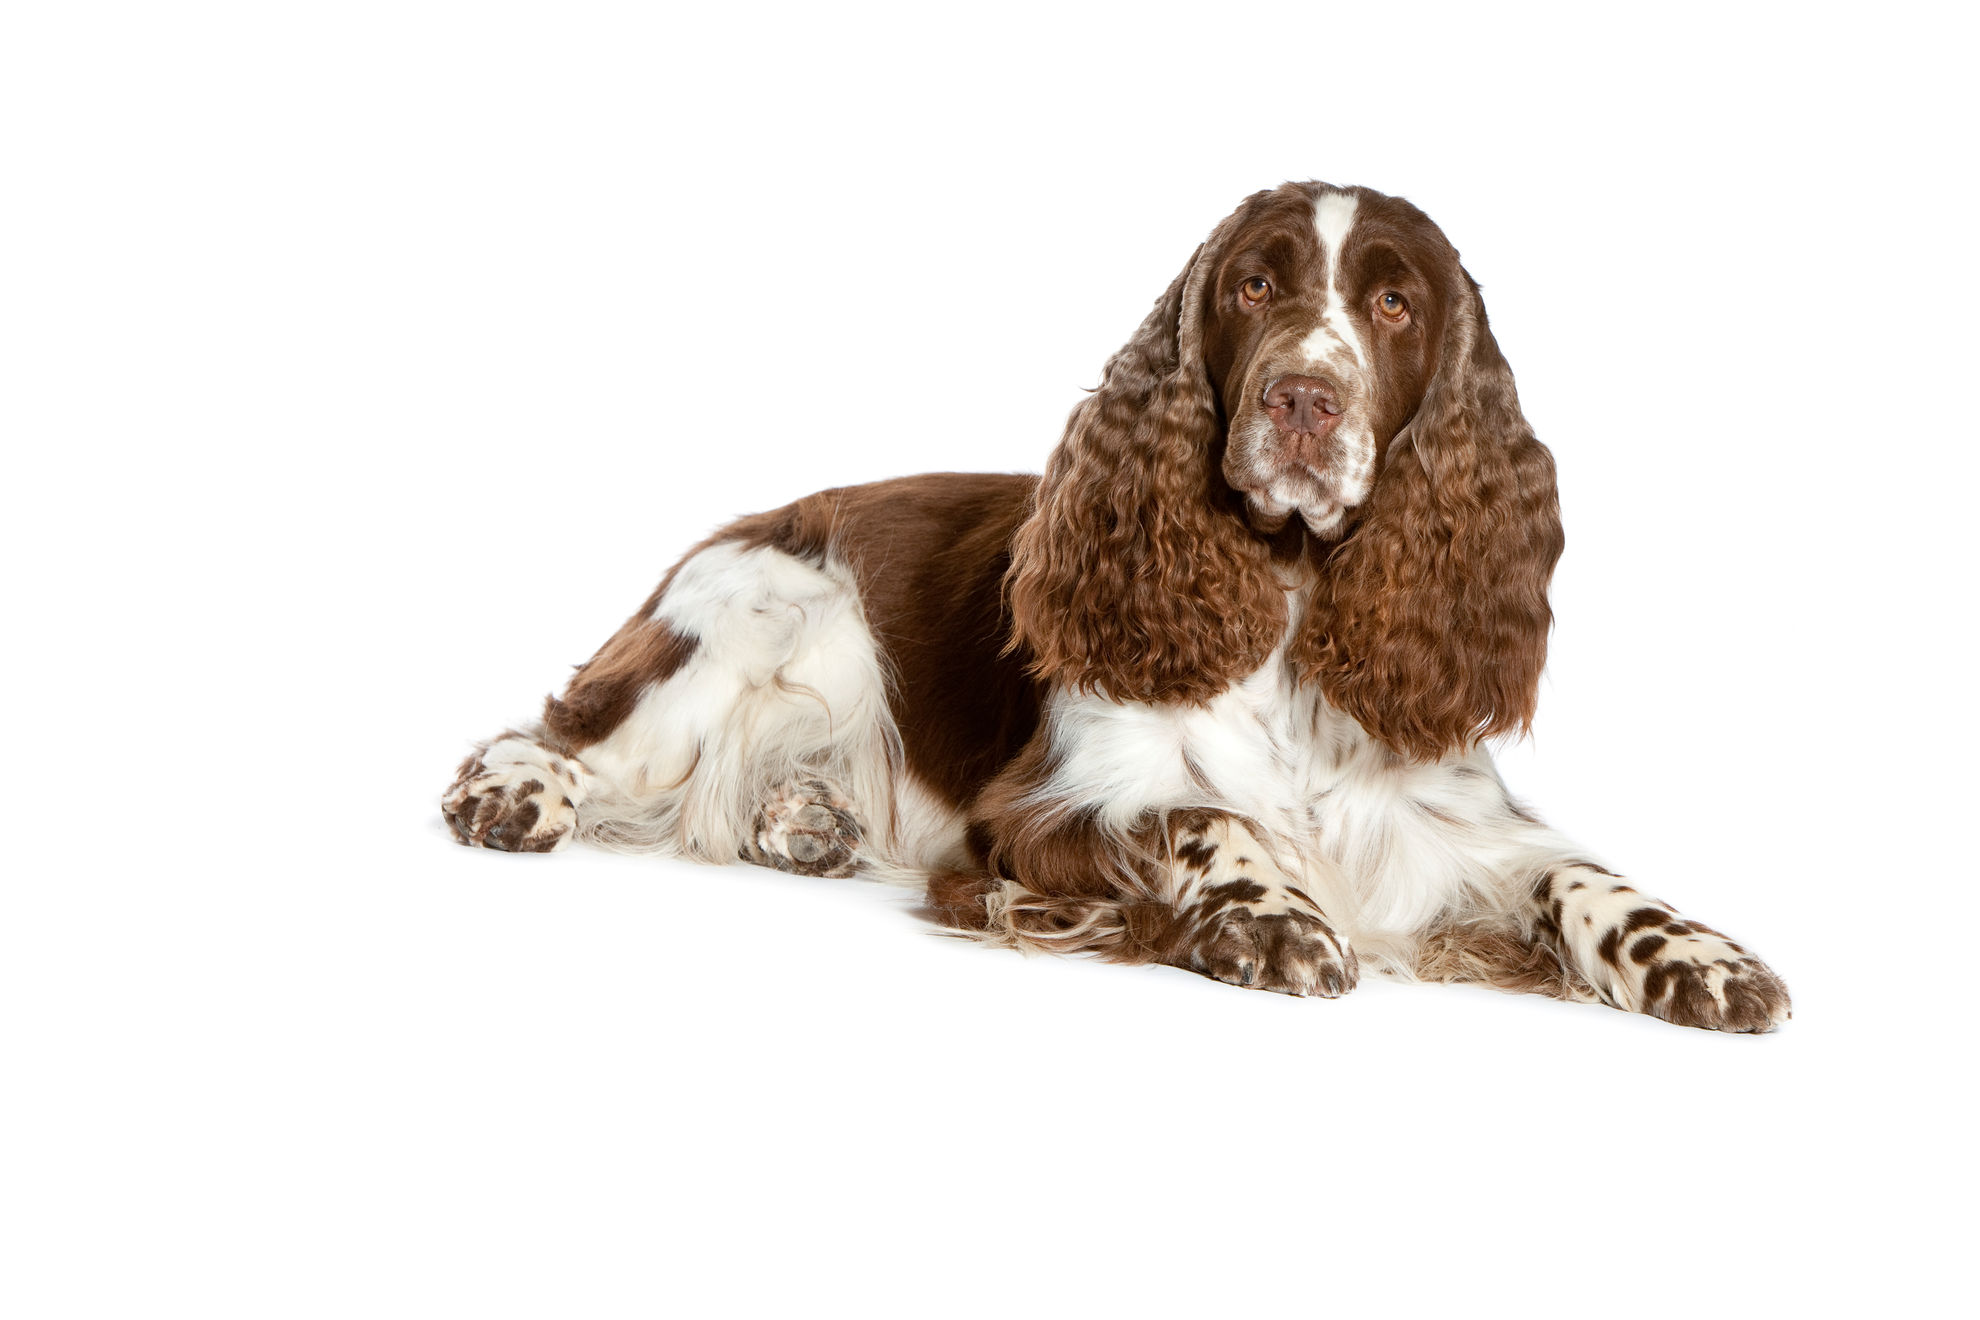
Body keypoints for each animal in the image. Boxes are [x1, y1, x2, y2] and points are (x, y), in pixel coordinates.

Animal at [445, 181, 1797, 1037]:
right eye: (1253, 284)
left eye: (1395, 303)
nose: (1304, 399)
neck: (1290, 607)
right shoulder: (1044, 810)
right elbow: (1204, 816)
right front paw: (1272, 916)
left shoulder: (1451, 821)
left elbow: (1580, 873)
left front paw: (1698, 955)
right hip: (755, 620)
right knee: (564, 734)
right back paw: (516, 794)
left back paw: (806, 820)